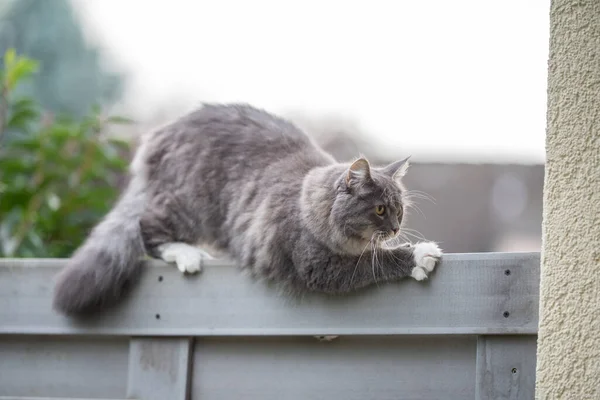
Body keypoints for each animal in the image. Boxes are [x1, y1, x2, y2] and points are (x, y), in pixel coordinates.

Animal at [54, 104, 442, 316]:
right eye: (379, 209)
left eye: (399, 210)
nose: (395, 229)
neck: (309, 205)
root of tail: (159, 136)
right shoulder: (317, 265)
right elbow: (375, 264)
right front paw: (420, 254)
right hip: (188, 206)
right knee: (147, 228)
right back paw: (189, 255)